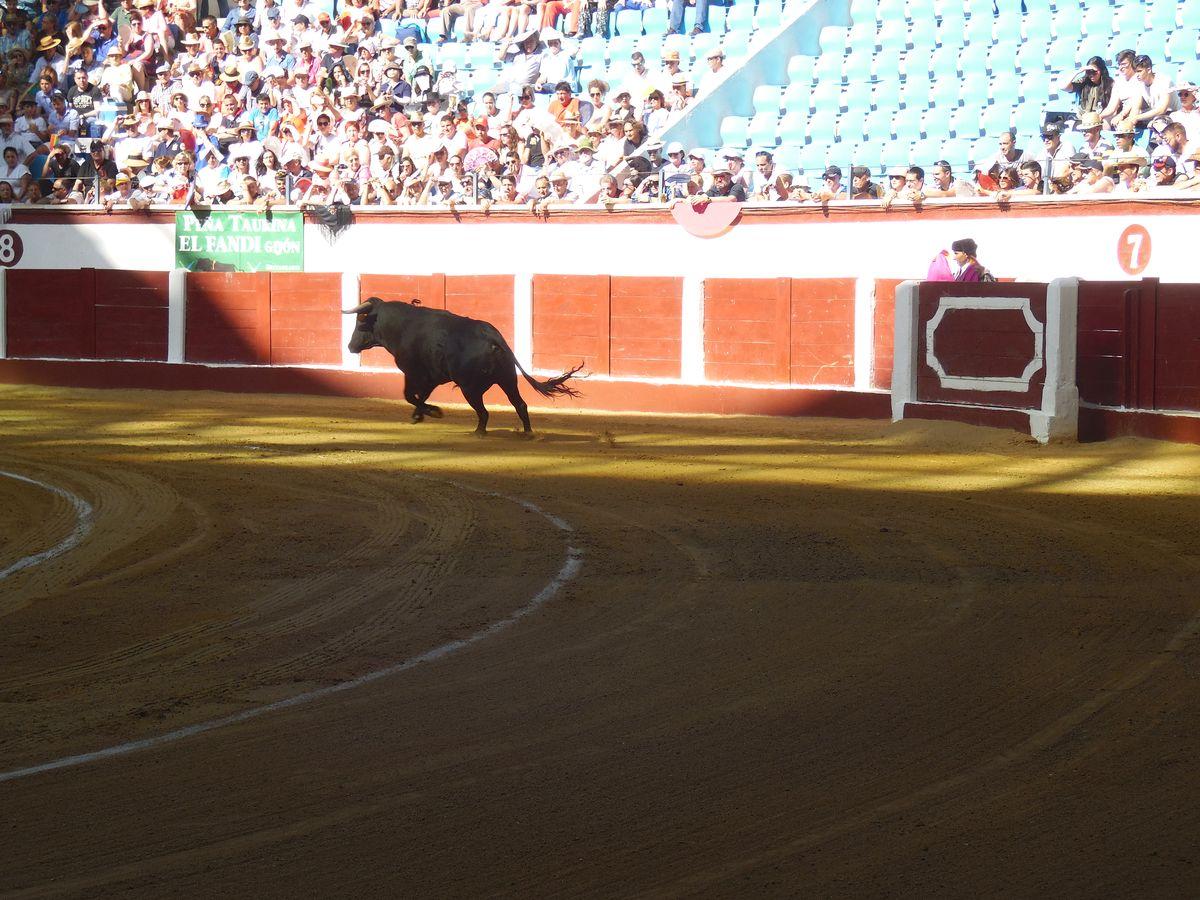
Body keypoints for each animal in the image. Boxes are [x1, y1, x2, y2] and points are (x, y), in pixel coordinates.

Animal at [345, 297, 583, 434]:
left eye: (359, 323)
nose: (349, 346)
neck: (401, 326)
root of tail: (492, 336)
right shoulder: (432, 377)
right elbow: (421, 396)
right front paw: (420, 415)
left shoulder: (412, 373)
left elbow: (410, 396)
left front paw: (432, 412)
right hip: (507, 380)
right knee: (520, 405)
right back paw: (527, 433)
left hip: (470, 388)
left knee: (484, 412)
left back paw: (478, 432)